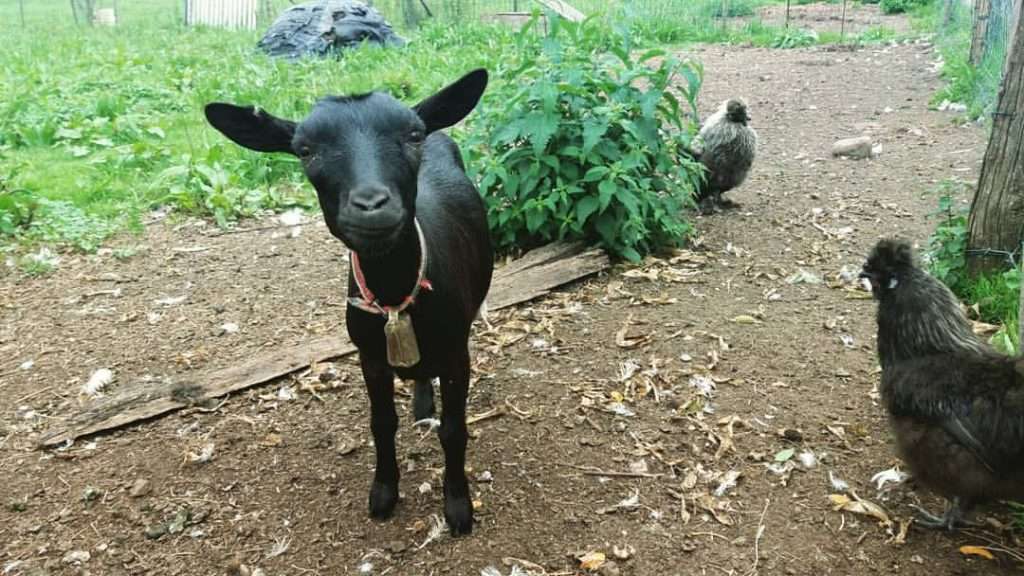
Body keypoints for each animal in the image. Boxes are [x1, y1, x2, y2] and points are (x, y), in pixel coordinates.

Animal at [204, 69, 493, 535]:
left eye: (412, 134)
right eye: (305, 150)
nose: (371, 205)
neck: (395, 296)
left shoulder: (455, 351)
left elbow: (453, 429)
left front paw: (457, 507)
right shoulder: (369, 354)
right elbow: (382, 423)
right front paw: (384, 493)